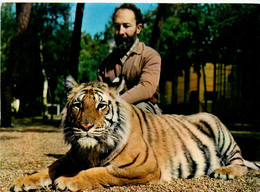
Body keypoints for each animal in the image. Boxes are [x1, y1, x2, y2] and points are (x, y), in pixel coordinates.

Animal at [12, 76, 260, 191]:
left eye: (101, 105)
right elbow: (48, 168)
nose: (85, 126)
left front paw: (68, 181)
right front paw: (23, 180)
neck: (91, 150)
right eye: (78, 105)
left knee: (241, 164)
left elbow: (97, 172)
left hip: (216, 126)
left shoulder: (141, 165)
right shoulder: (71, 157)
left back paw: (224, 171)